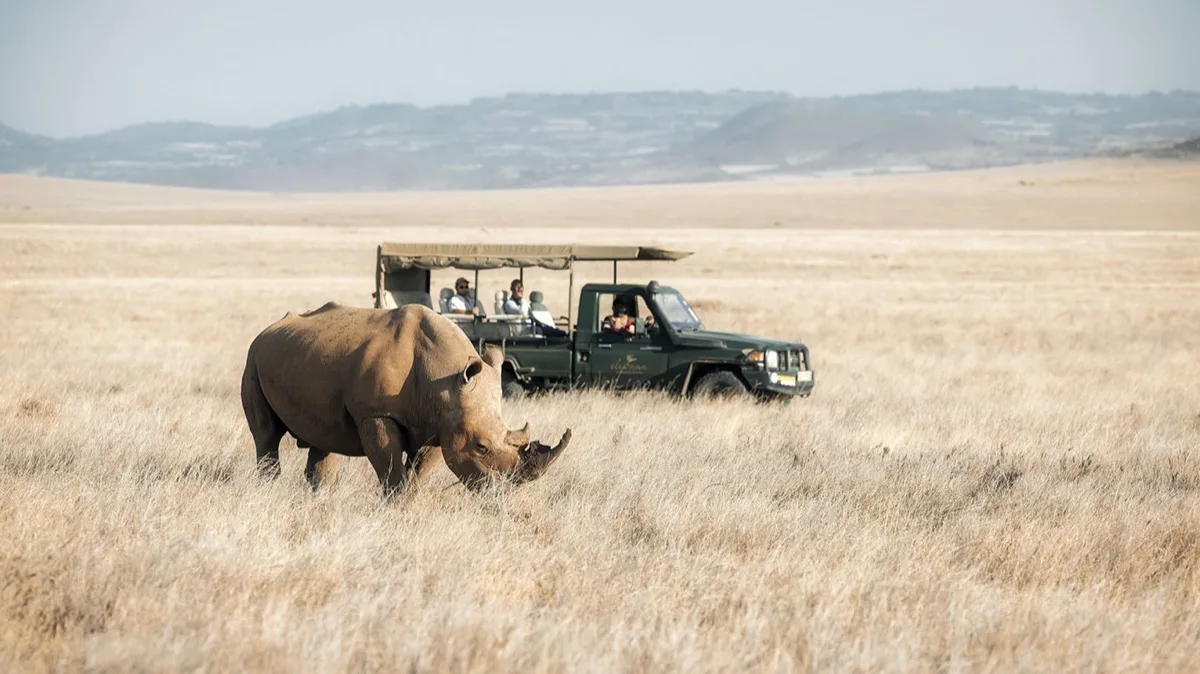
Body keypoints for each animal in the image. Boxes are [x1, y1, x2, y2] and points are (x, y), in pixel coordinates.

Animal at [239, 301, 571, 495]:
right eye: (481, 447)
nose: (503, 493)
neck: (445, 381)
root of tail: (267, 329)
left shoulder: (441, 423)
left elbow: (418, 472)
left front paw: (409, 503)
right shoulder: (376, 413)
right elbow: (389, 468)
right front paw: (394, 504)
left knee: (323, 439)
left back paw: (319, 496)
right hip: (253, 357)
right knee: (266, 436)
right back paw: (269, 490)